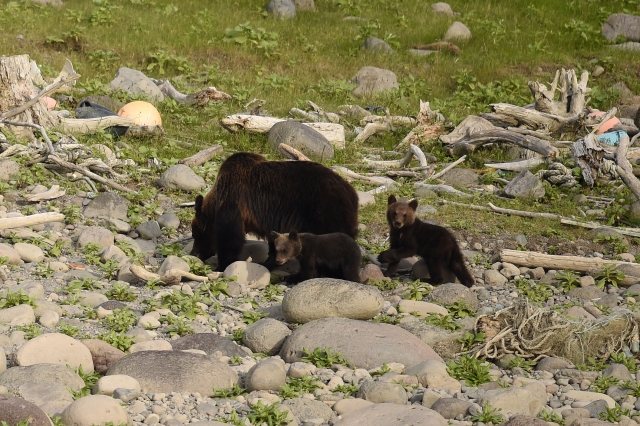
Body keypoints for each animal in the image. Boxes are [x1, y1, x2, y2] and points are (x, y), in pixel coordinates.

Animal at [190, 153, 360, 272]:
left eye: (196, 234)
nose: (193, 253)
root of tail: (352, 193)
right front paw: (268, 262)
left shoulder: (233, 202)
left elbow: (230, 238)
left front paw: (222, 265)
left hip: (324, 212)